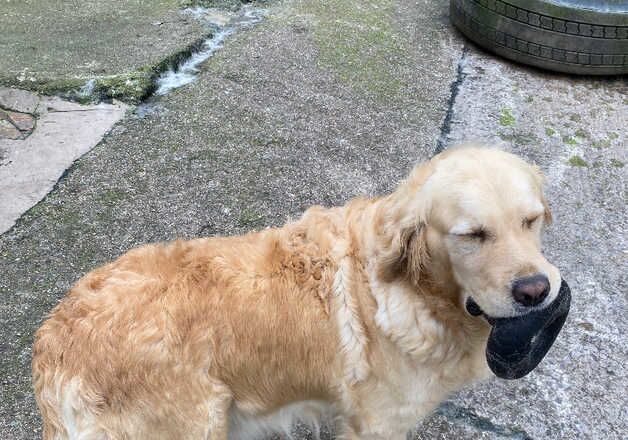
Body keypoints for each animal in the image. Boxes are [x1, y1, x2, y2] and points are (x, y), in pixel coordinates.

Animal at [30, 144, 568, 436]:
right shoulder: (378, 425)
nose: (536, 291)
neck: (416, 294)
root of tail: (53, 341)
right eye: (471, 235)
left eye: (531, 220)